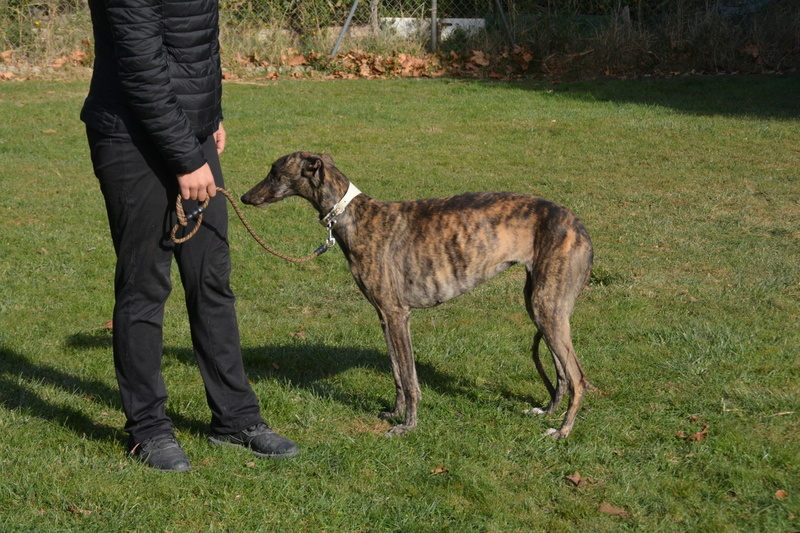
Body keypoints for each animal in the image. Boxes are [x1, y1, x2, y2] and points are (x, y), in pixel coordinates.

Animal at [242, 152, 592, 438]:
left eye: (275, 171)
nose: (245, 197)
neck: (355, 216)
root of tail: (579, 225)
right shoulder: (384, 316)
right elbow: (398, 373)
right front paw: (393, 412)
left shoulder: (398, 314)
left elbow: (410, 380)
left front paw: (407, 425)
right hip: (541, 306)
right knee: (564, 372)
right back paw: (547, 411)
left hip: (548, 307)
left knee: (577, 377)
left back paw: (563, 431)